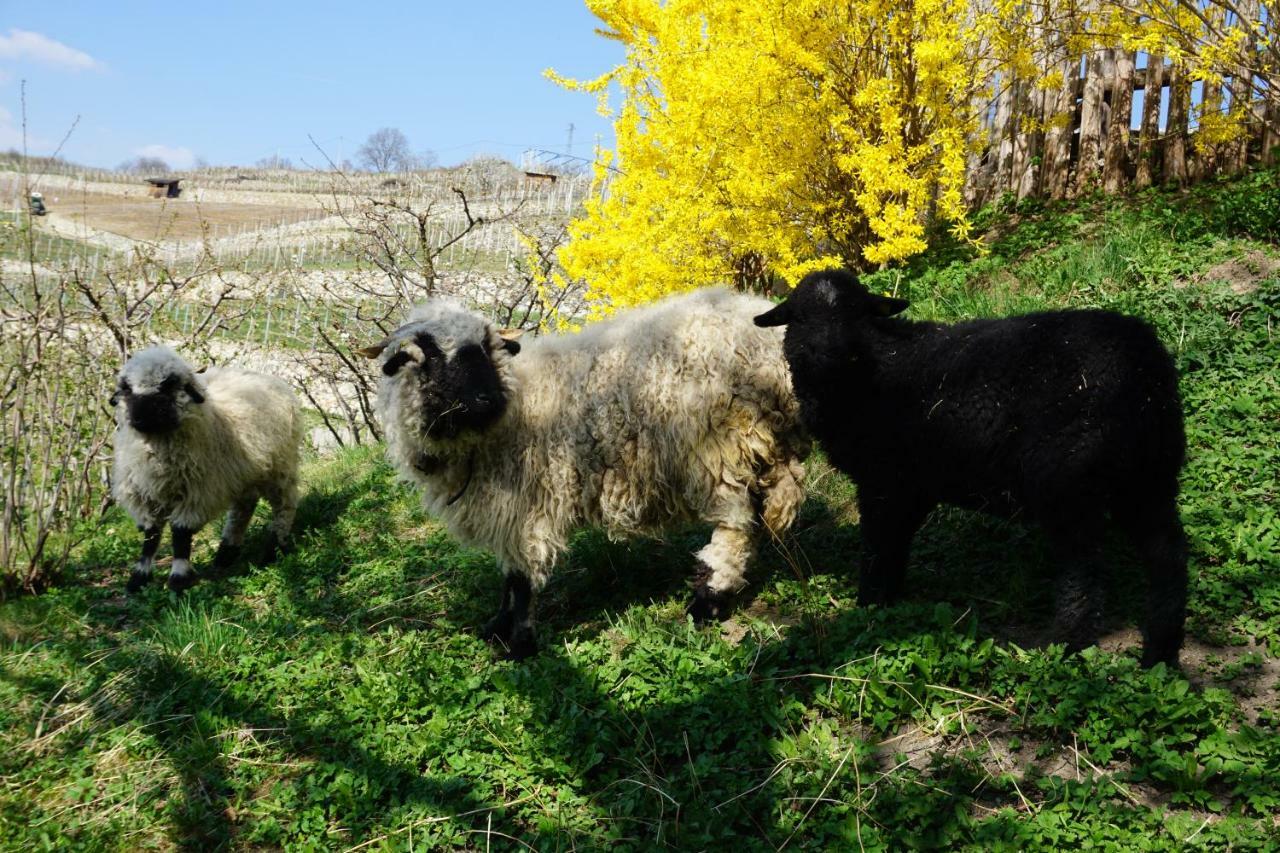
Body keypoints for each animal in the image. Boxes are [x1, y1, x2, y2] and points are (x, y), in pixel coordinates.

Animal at [111, 343, 303, 589]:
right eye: (126, 388)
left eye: (169, 384)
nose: (142, 416)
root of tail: (265, 376)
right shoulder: (144, 497)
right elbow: (151, 535)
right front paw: (139, 577)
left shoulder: (196, 493)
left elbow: (180, 535)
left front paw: (179, 578)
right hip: (244, 472)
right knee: (243, 508)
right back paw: (226, 552)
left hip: (279, 468)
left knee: (284, 505)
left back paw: (274, 548)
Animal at [358, 289, 808, 653]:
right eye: (430, 355)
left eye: (487, 347)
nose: (486, 399)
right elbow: (507, 578)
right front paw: (496, 628)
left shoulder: (526, 507)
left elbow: (521, 580)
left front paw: (518, 644)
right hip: (762, 451)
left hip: (718, 451)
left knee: (734, 529)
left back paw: (706, 603)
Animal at [752, 266, 1182, 666]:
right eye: (799, 317)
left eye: (857, 312)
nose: (828, 355)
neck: (864, 375)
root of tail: (1143, 366)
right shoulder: (910, 486)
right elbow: (894, 549)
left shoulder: (886, 482)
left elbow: (878, 548)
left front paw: (868, 610)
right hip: (1149, 475)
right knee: (1167, 556)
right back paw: (1160, 654)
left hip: (1069, 480)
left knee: (1084, 570)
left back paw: (1064, 648)